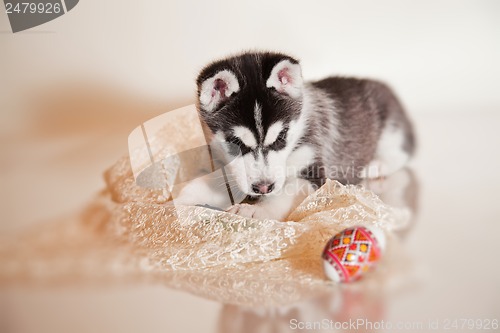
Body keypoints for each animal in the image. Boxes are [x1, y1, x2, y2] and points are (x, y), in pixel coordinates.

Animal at [178, 50, 416, 219]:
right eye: (235, 142)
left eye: (281, 137)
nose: (264, 187)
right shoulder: (229, 165)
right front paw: (188, 195)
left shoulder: (313, 169)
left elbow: (286, 192)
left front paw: (257, 210)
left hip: (391, 128)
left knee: (401, 153)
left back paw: (377, 165)